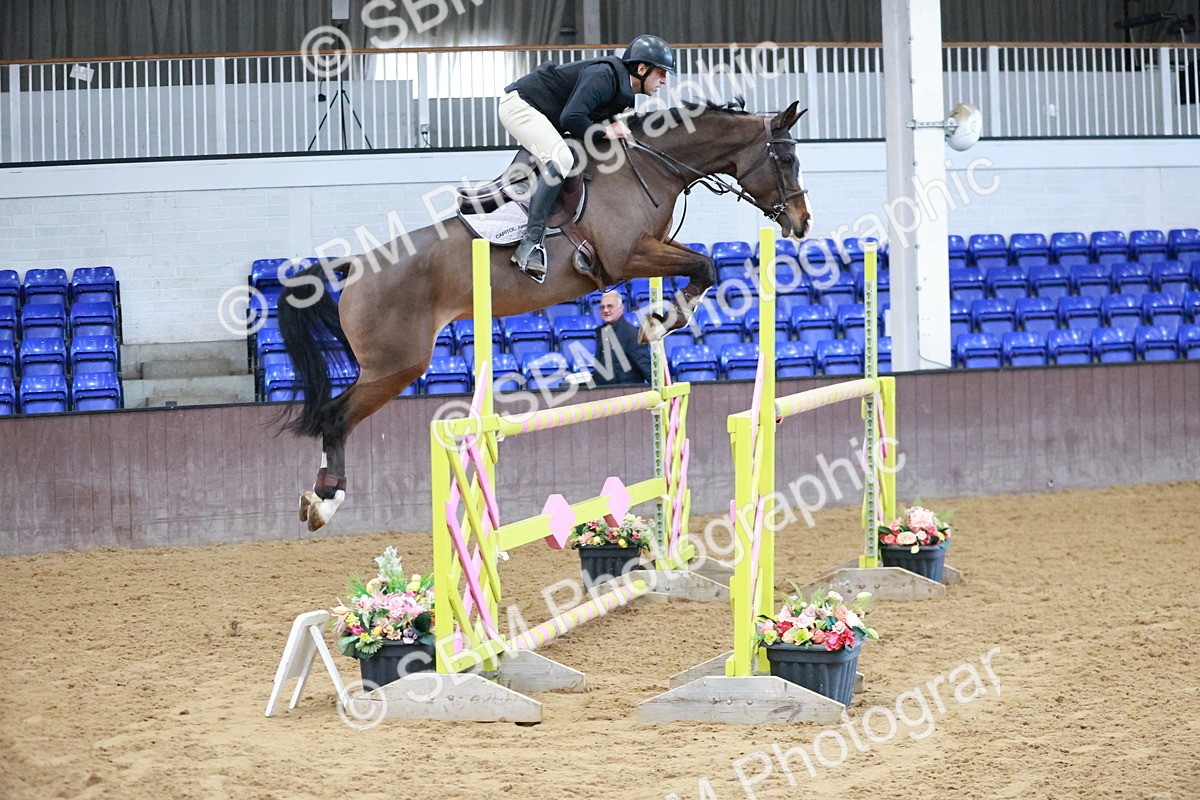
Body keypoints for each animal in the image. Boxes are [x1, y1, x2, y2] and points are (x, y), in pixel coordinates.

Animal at [277, 99, 812, 531]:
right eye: (786, 159)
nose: (802, 223)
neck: (647, 167)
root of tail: (355, 265)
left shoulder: (653, 248)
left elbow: (702, 264)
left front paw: (663, 319)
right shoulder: (628, 256)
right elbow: (706, 264)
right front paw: (660, 322)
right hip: (396, 366)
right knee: (334, 417)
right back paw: (324, 501)